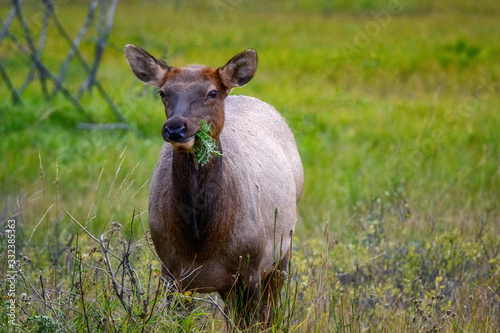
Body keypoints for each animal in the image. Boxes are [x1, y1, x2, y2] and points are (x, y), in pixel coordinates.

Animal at [125, 44, 304, 324]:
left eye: (212, 92)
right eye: (163, 92)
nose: (175, 128)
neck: (201, 237)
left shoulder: (250, 269)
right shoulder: (171, 272)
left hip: (281, 254)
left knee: (271, 314)